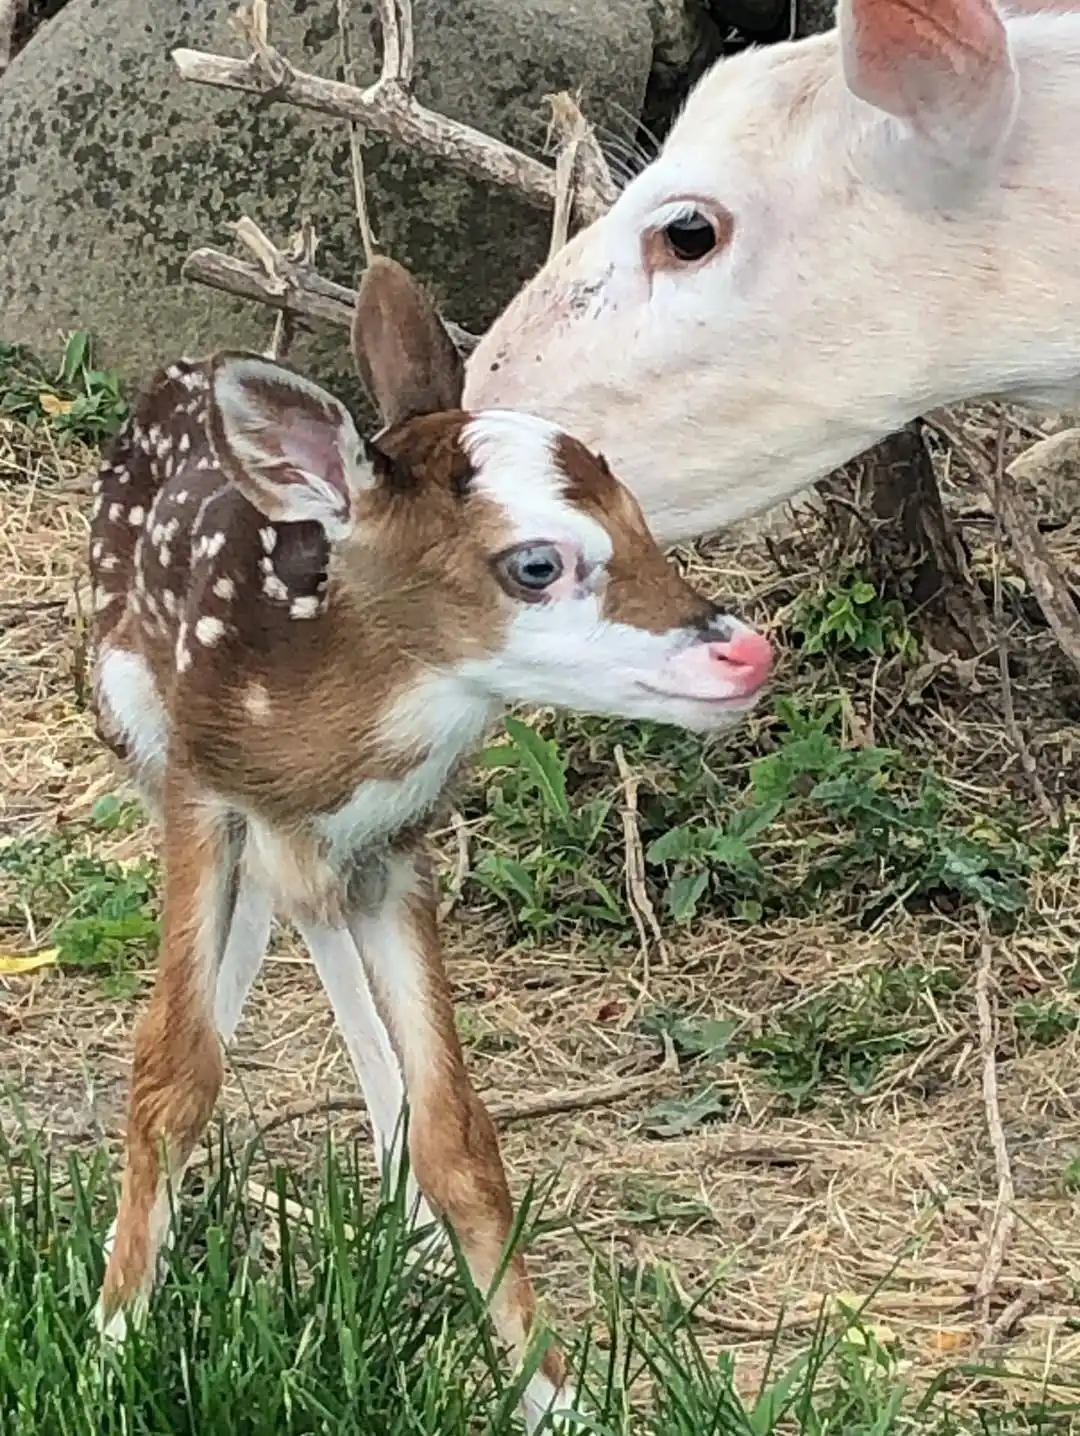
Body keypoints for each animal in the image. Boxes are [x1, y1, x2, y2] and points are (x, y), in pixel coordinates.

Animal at [85, 255, 774, 1430]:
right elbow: (170, 1072)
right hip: (132, 726)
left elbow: (463, 1129)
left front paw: (553, 1393)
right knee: (253, 947)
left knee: (307, 923)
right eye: (536, 564)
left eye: (641, 516)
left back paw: (403, 1229)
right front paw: (106, 1348)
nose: (747, 653)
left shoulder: (401, 842)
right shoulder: (200, 789)